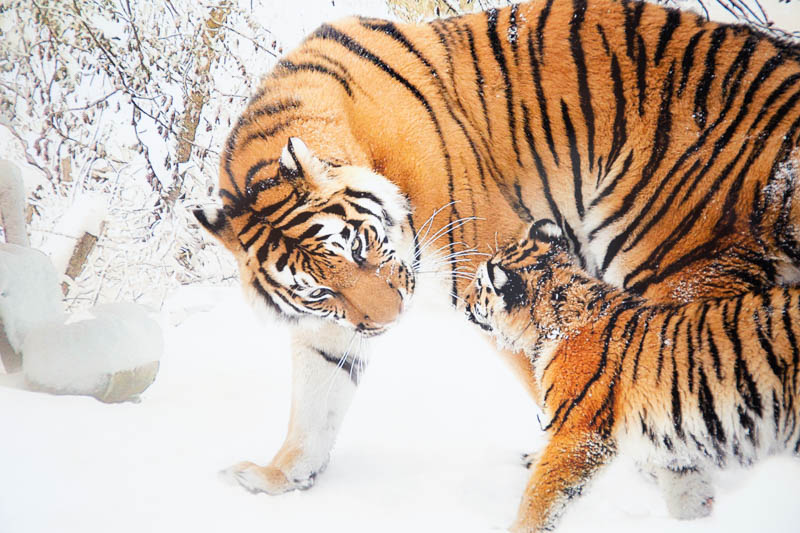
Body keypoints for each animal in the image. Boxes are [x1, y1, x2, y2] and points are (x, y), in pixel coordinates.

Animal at [194, 0, 800, 508]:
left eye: (362, 248)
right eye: (320, 289)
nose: (390, 322)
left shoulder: (497, 271)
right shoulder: (333, 323)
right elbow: (315, 400)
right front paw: (279, 476)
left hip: (674, 258)